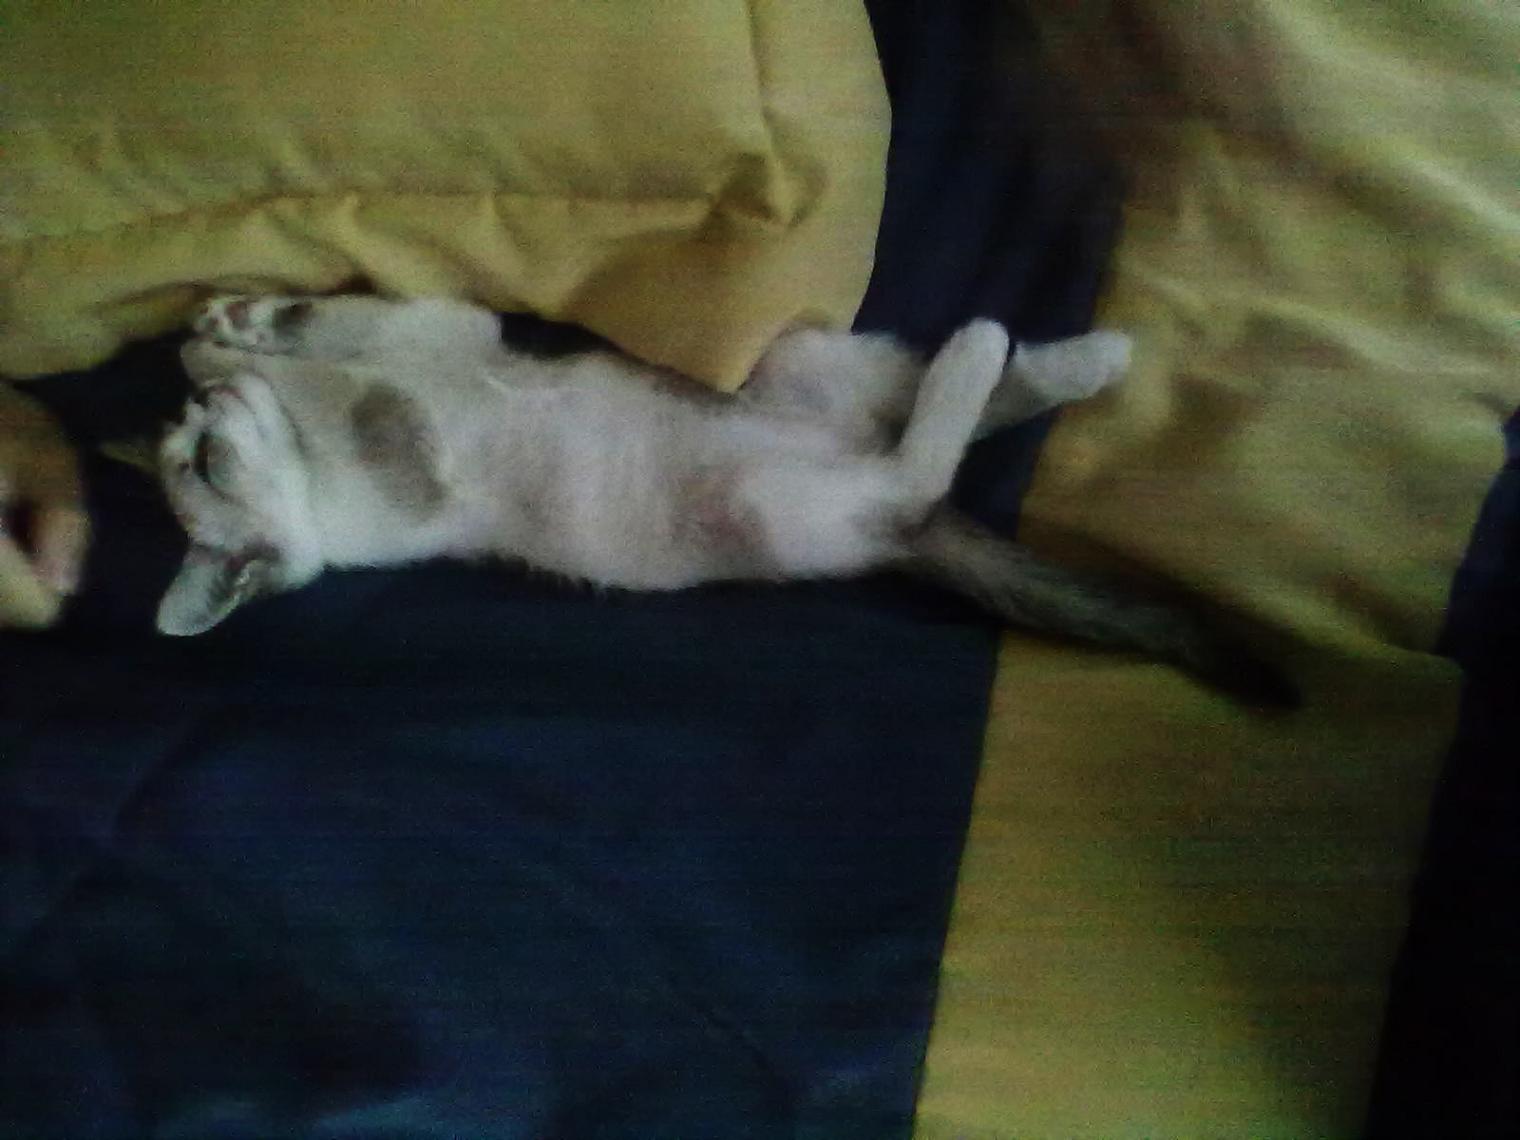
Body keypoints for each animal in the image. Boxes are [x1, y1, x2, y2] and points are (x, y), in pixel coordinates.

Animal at [158, 294, 1295, 705]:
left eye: (197, 455)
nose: (198, 417)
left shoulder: (446, 330)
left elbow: (339, 324)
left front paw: (225, 328)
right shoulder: (413, 452)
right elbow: (361, 384)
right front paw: (233, 350)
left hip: (794, 363)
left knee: (930, 410)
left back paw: (1084, 357)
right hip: (779, 498)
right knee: (915, 468)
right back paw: (991, 352)